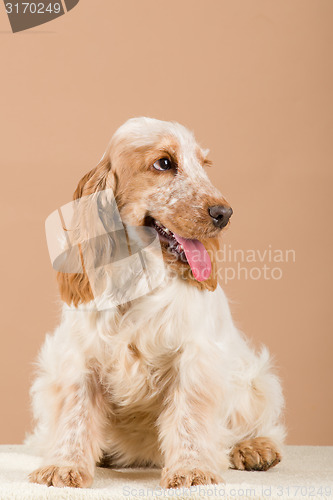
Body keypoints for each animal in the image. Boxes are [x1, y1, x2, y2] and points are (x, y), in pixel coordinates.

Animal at [27, 118, 282, 488]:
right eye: (164, 163)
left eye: (203, 165)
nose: (225, 213)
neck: (139, 272)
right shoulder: (79, 358)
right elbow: (75, 415)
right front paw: (64, 465)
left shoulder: (195, 357)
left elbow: (190, 415)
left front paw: (191, 469)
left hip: (254, 378)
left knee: (254, 425)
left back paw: (254, 448)